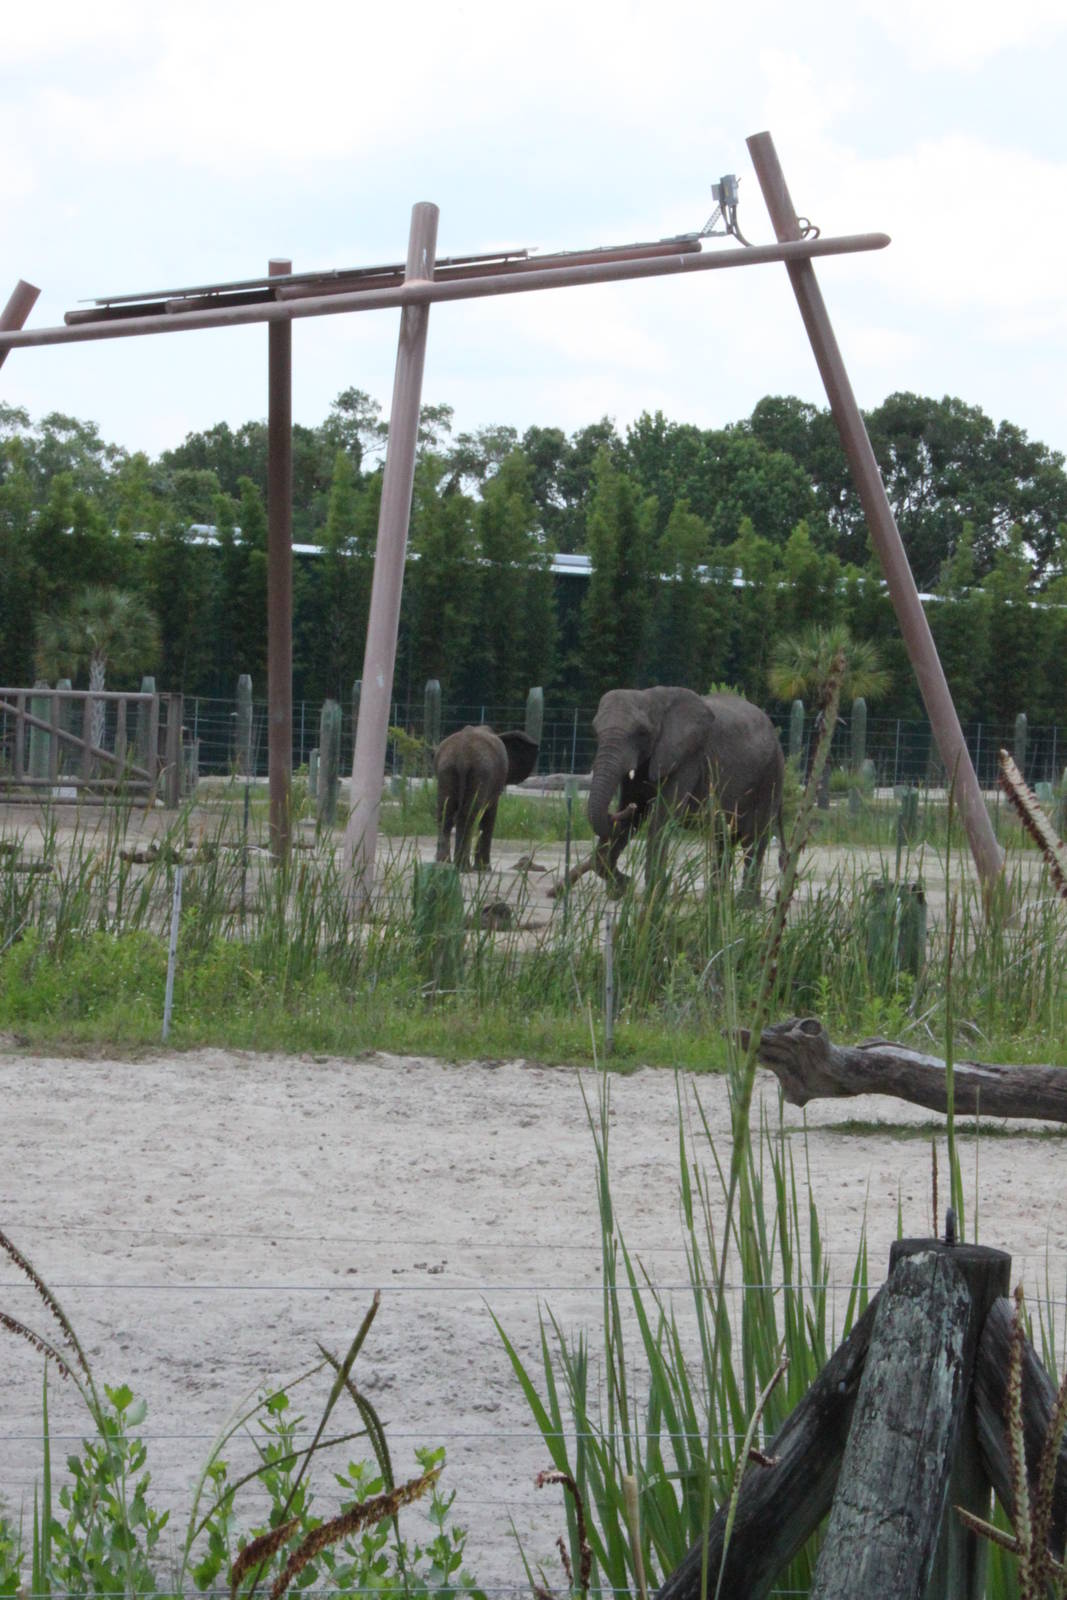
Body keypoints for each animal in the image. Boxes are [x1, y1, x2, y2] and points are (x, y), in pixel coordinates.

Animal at [434, 725, 540, 872]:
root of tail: (462, 758)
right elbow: (489, 816)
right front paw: (485, 869)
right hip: (481, 773)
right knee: (468, 815)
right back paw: (463, 867)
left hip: (446, 771)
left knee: (445, 814)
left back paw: (444, 864)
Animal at [574, 685, 785, 899]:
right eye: (595, 731)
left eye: (641, 732)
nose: (612, 814)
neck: (652, 697)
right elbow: (633, 816)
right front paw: (622, 887)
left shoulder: (687, 758)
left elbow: (660, 819)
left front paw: (653, 895)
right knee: (724, 838)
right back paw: (716, 899)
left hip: (771, 776)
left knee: (754, 838)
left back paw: (745, 903)